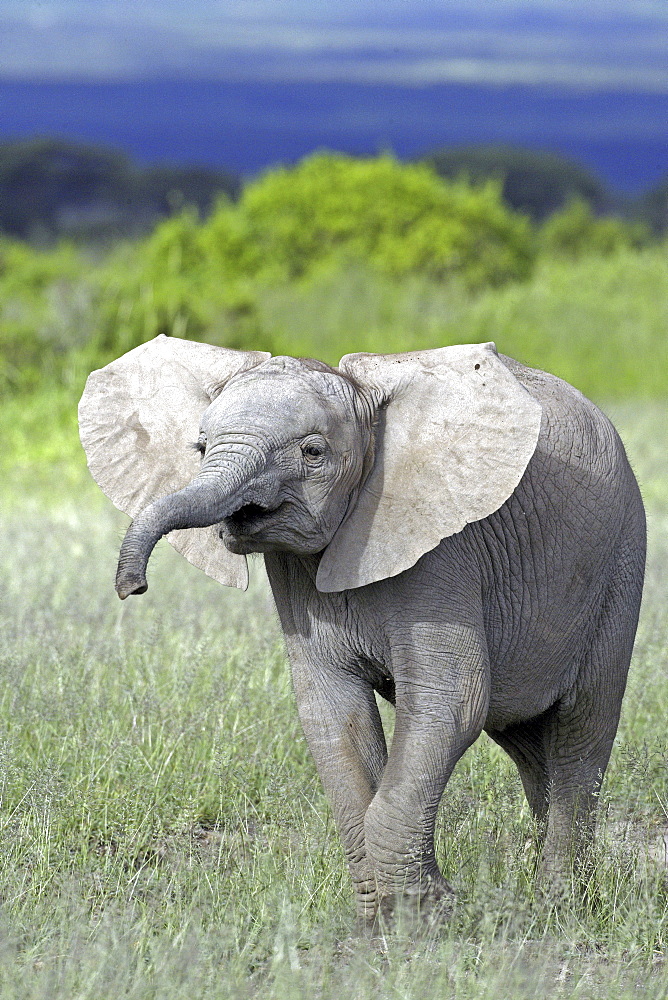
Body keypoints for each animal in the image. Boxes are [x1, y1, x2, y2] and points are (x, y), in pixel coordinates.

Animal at [79, 334, 648, 920]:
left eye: (313, 453)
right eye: (198, 449)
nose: (132, 587)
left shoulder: (443, 550)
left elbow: (453, 700)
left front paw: (425, 916)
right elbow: (332, 711)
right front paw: (381, 919)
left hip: (619, 566)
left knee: (581, 730)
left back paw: (560, 905)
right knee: (527, 741)